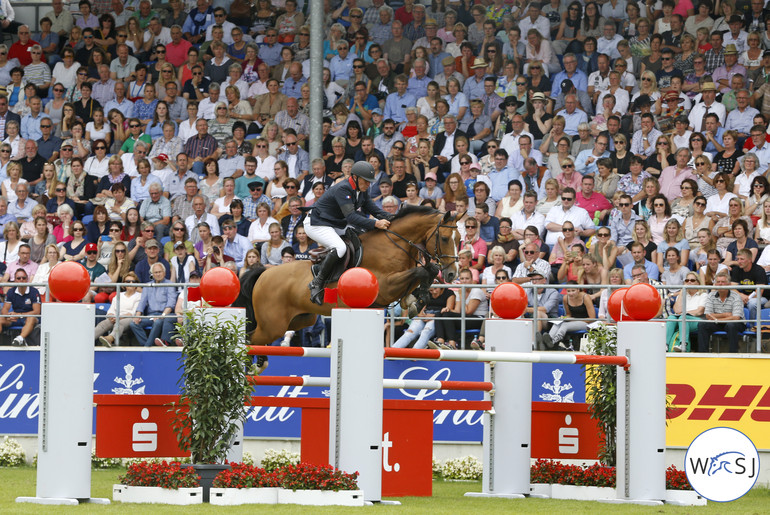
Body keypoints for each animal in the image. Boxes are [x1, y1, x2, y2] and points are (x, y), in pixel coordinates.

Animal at [234, 206, 460, 346]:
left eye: (459, 238)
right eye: (445, 238)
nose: (451, 273)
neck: (395, 245)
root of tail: (264, 273)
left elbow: (427, 271)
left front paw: (415, 300)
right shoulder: (385, 286)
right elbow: (422, 270)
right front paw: (417, 299)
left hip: (300, 319)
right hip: (272, 325)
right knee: (250, 339)